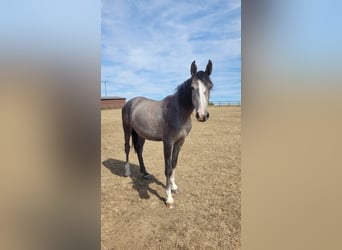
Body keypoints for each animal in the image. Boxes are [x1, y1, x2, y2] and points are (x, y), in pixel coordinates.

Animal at [121, 60, 212, 207]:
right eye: (192, 87)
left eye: (210, 86)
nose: (202, 115)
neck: (179, 111)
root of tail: (130, 102)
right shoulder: (168, 142)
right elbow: (167, 167)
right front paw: (169, 197)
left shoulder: (180, 141)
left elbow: (174, 163)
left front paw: (174, 187)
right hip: (127, 130)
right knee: (127, 148)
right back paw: (127, 172)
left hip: (141, 134)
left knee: (139, 151)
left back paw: (145, 173)